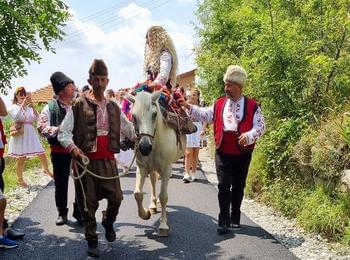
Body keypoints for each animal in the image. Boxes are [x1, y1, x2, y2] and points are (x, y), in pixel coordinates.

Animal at [126, 91, 186, 236]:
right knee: (153, 181)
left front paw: (163, 225)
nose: (144, 147)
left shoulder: (166, 169)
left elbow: (164, 196)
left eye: (154, 114)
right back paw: (153, 205)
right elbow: (137, 193)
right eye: (133, 116)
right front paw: (145, 213)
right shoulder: (141, 168)